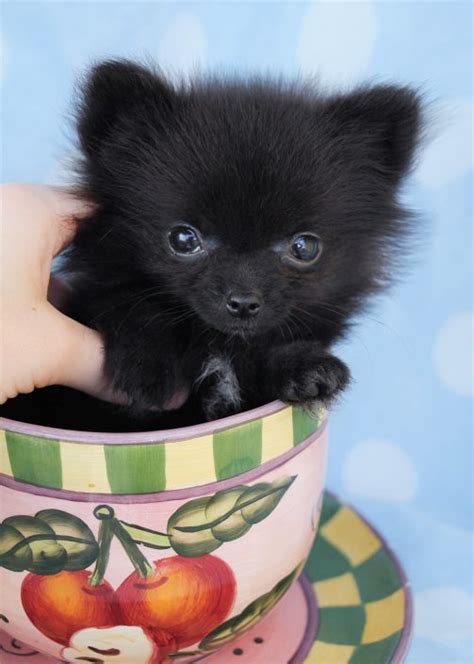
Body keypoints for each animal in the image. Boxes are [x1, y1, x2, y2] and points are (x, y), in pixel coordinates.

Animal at [0, 58, 422, 430]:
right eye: (184, 239)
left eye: (304, 248)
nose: (243, 302)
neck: (219, 346)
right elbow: (133, 306)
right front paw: (147, 361)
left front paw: (303, 367)